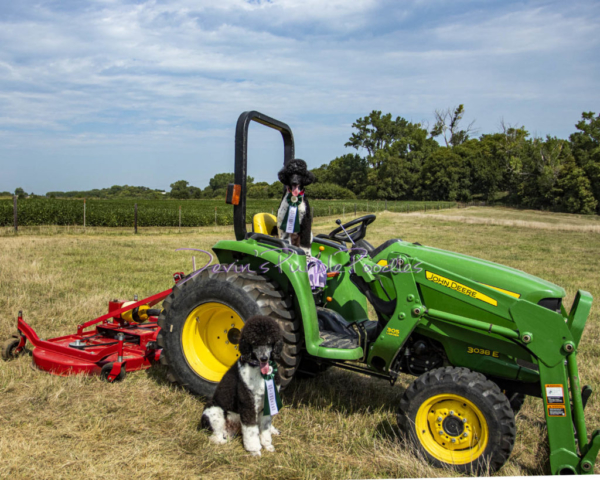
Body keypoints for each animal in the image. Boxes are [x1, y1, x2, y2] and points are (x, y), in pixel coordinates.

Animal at [202, 316, 284, 456]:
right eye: (254, 342)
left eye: (269, 341)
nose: (264, 358)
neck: (258, 370)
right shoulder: (248, 405)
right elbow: (251, 431)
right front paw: (255, 450)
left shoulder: (267, 405)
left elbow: (265, 427)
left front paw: (267, 445)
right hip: (214, 412)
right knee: (215, 437)